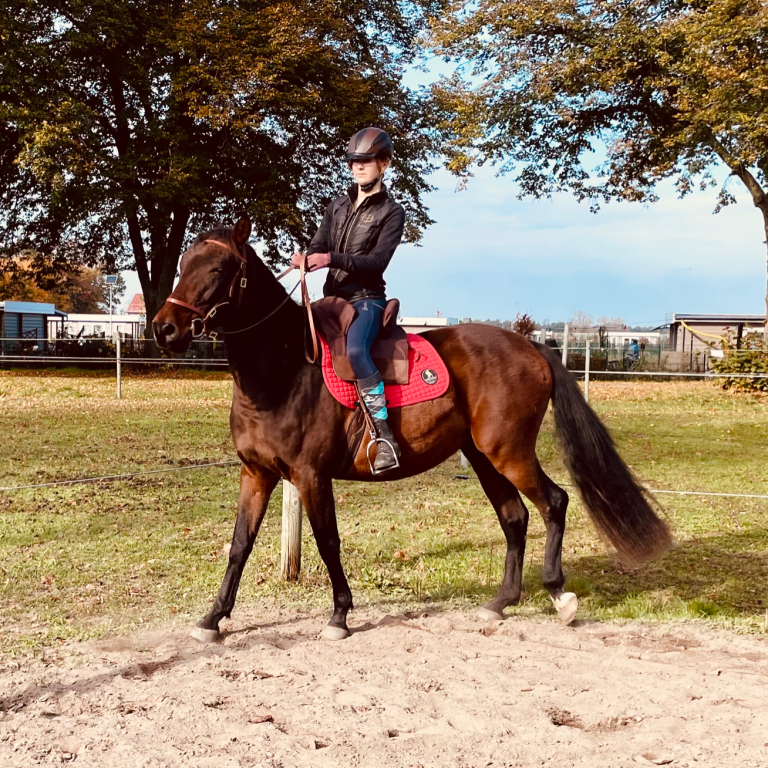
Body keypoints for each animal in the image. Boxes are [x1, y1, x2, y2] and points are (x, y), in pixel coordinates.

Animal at [152, 215, 671, 642]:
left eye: (218, 270)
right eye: (183, 264)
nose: (164, 329)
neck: (284, 368)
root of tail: (532, 347)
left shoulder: (311, 476)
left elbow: (328, 542)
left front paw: (339, 615)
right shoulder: (256, 474)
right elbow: (239, 546)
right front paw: (213, 619)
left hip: (508, 452)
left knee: (554, 503)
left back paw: (558, 594)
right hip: (483, 457)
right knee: (515, 517)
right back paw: (501, 603)